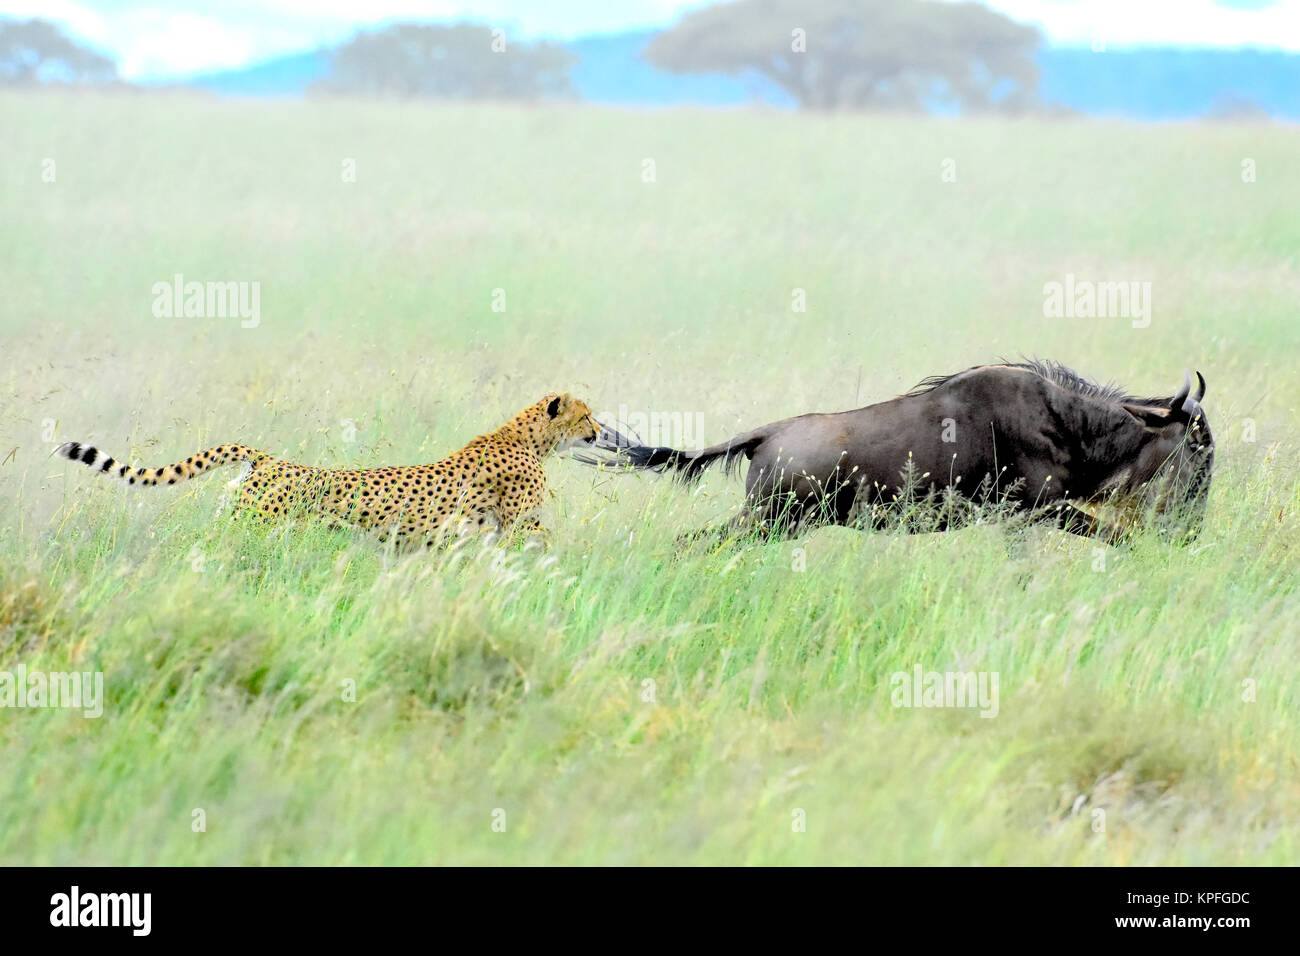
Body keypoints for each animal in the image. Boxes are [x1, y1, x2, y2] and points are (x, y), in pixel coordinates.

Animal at [53, 392, 611, 548]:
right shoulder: (519, 526)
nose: (600, 432)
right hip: (253, 525)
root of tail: (269, 458)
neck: (527, 438)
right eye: (586, 414)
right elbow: (545, 545)